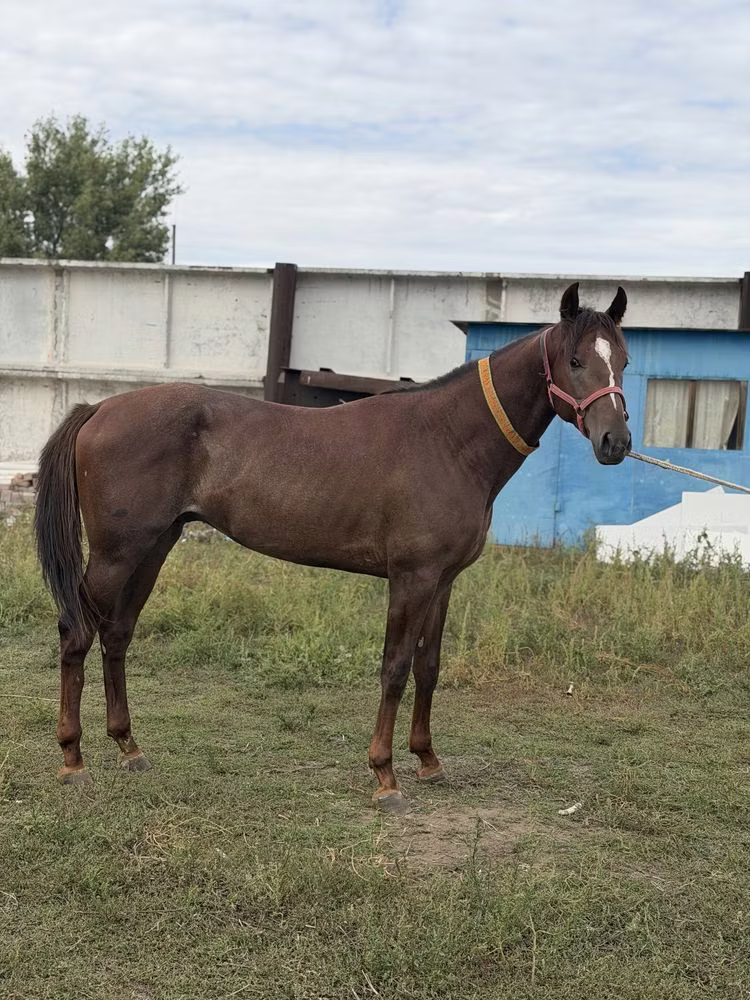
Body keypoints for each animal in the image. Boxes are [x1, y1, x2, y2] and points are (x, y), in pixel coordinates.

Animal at [34, 281, 631, 808]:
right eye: (575, 360)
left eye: (621, 361)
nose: (616, 442)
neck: (447, 440)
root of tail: (100, 409)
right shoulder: (411, 579)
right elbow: (394, 667)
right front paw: (385, 777)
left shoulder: (442, 581)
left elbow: (428, 666)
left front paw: (428, 760)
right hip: (115, 555)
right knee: (76, 633)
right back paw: (72, 759)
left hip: (153, 548)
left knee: (116, 634)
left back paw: (129, 747)